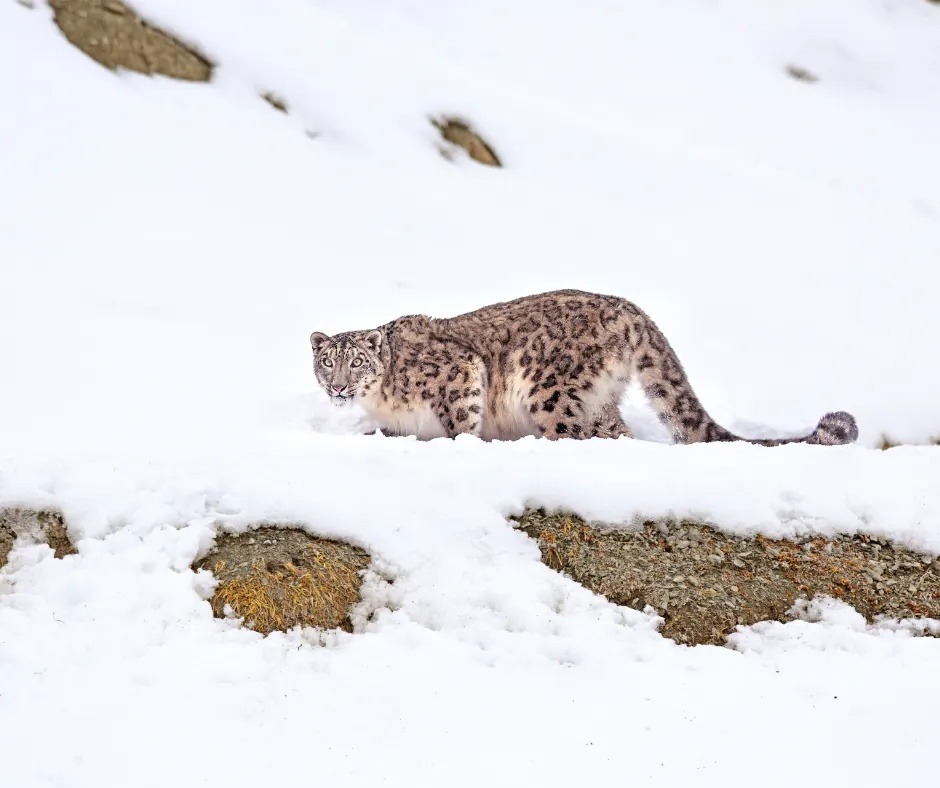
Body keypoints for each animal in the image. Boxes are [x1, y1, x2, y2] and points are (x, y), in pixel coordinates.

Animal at [309, 289, 858, 445]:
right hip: (599, 400)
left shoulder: (460, 375)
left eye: (356, 362)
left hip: (549, 391)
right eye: (326, 363)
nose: (337, 388)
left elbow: (460, 422)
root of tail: (630, 310)